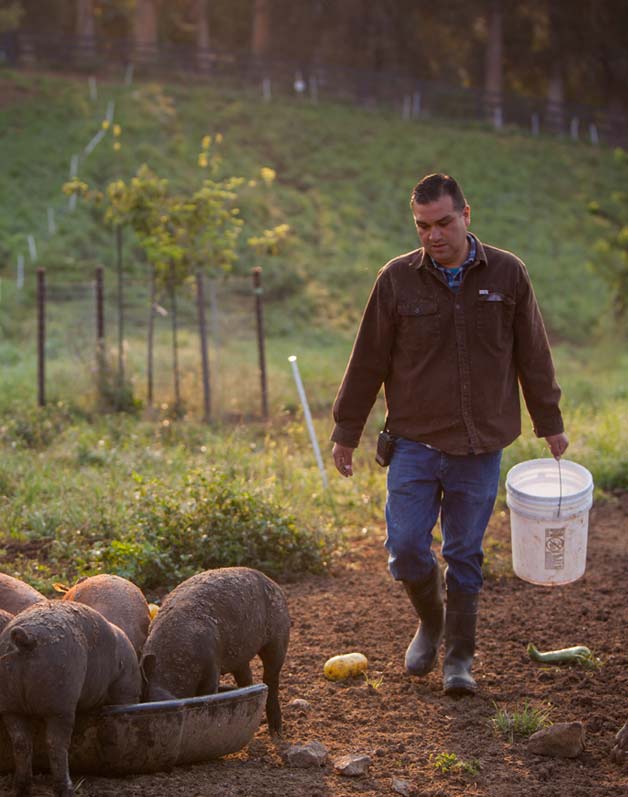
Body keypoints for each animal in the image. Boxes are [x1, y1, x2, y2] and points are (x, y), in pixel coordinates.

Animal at [0, 600, 140, 792]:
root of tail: (27, 639)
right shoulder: (125, 688)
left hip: (10, 704)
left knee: (21, 742)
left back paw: (22, 788)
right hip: (60, 703)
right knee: (56, 743)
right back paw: (67, 789)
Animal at [140, 564, 290, 732]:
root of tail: (273, 582)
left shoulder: (212, 666)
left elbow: (208, 694)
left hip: (278, 638)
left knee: (271, 679)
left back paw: (276, 733)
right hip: (240, 657)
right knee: (246, 679)